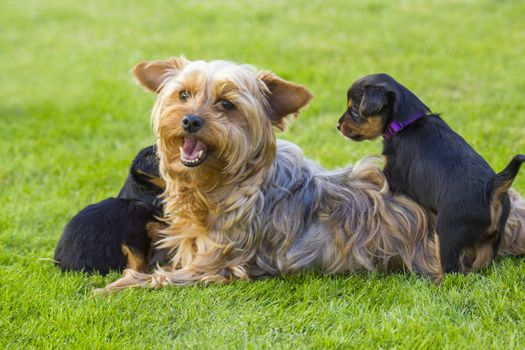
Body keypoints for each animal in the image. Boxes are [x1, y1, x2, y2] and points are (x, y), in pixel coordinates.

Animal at [97, 57, 450, 292]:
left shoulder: (220, 261)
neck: (220, 184)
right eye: (183, 94)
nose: (190, 120)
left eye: (227, 104)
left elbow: (163, 276)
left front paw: (116, 285)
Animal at [338, 74, 520, 274]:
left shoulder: (392, 178)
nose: (338, 125)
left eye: (354, 110)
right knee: (482, 263)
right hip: (492, 239)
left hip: (448, 234)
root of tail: (492, 189)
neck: (405, 124)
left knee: (452, 269)